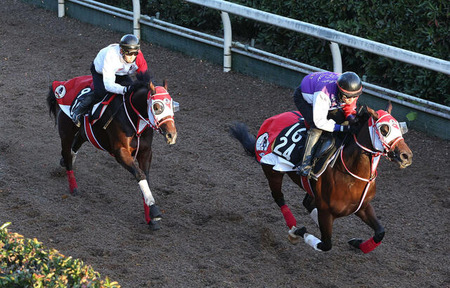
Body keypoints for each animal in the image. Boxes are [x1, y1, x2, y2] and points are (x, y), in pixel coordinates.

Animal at [46, 73, 177, 230]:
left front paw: (150, 218)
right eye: (157, 107)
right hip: (66, 133)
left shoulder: (146, 152)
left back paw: (64, 163)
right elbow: (140, 175)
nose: (171, 135)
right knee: (67, 153)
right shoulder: (120, 152)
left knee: (75, 144)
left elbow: (146, 178)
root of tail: (60, 85)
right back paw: (74, 187)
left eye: (172, 105)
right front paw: (154, 211)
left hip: (84, 133)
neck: (134, 119)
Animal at [230, 103, 414, 252]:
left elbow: (380, 232)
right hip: (272, 171)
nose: (406, 156)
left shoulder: (362, 207)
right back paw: (292, 226)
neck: (351, 175)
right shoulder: (326, 211)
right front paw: (298, 232)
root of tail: (271, 119)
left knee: (307, 202)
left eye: (399, 128)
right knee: (279, 198)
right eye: (384, 129)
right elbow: (326, 244)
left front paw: (357, 243)